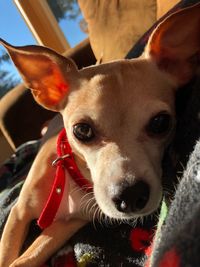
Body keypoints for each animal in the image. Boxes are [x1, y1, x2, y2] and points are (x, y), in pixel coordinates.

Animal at [0, 4, 200, 267]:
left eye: (161, 123)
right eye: (82, 130)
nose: (131, 195)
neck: (71, 175)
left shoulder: (68, 224)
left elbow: (26, 258)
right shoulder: (18, 213)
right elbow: (7, 256)